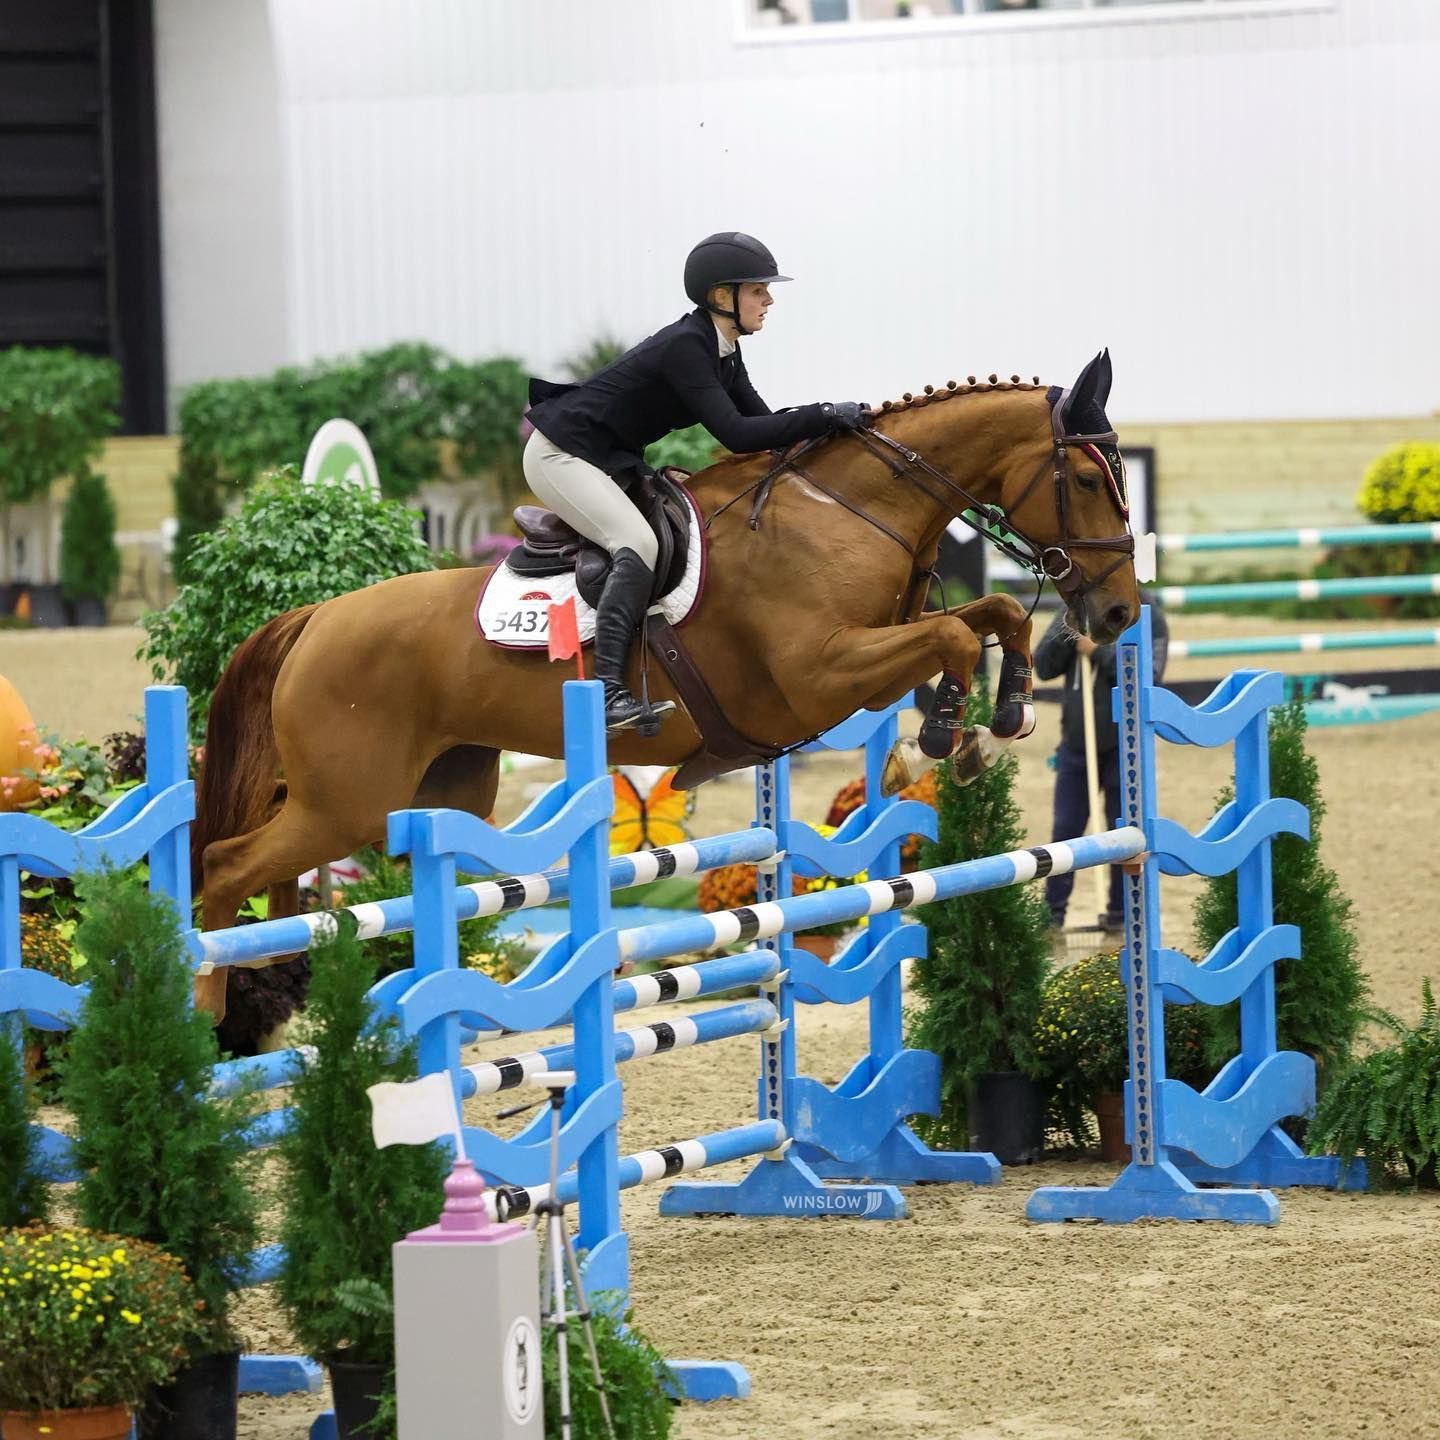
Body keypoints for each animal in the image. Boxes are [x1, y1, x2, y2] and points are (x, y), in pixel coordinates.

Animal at [190, 350, 1137, 1020]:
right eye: (1091, 479)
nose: (1123, 610)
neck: (847, 510)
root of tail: (315, 615)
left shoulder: (863, 662)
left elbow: (992, 616)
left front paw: (998, 715)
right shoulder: (821, 674)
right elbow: (952, 633)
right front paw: (950, 732)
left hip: (437, 791)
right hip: (348, 800)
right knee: (222, 865)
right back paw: (205, 1012)